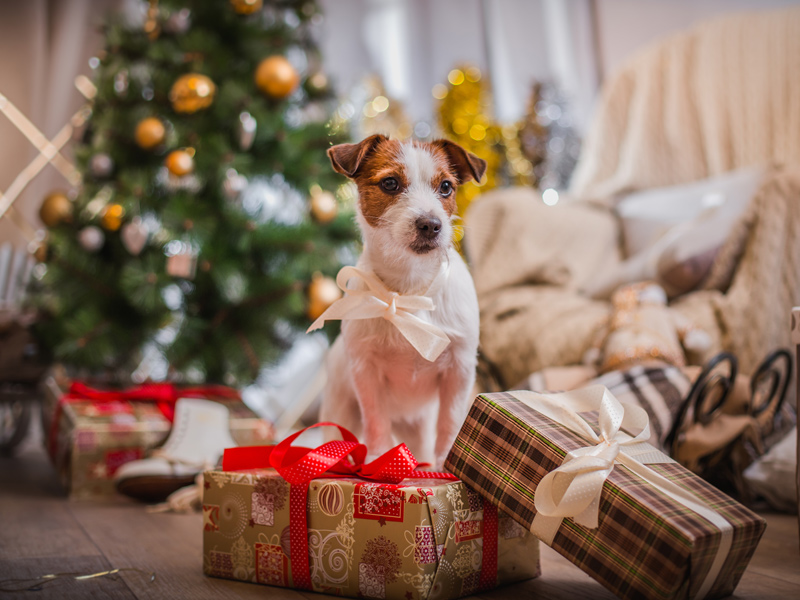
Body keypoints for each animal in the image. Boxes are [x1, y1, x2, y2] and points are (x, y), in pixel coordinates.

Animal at [316, 135, 484, 468]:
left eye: (446, 187)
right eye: (390, 183)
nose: (431, 224)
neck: (410, 292)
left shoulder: (459, 369)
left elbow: (450, 421)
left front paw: (446, 462)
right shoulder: (366, 372)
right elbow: (376, 420)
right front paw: (380, 457)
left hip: (419, 423)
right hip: (340, 409)